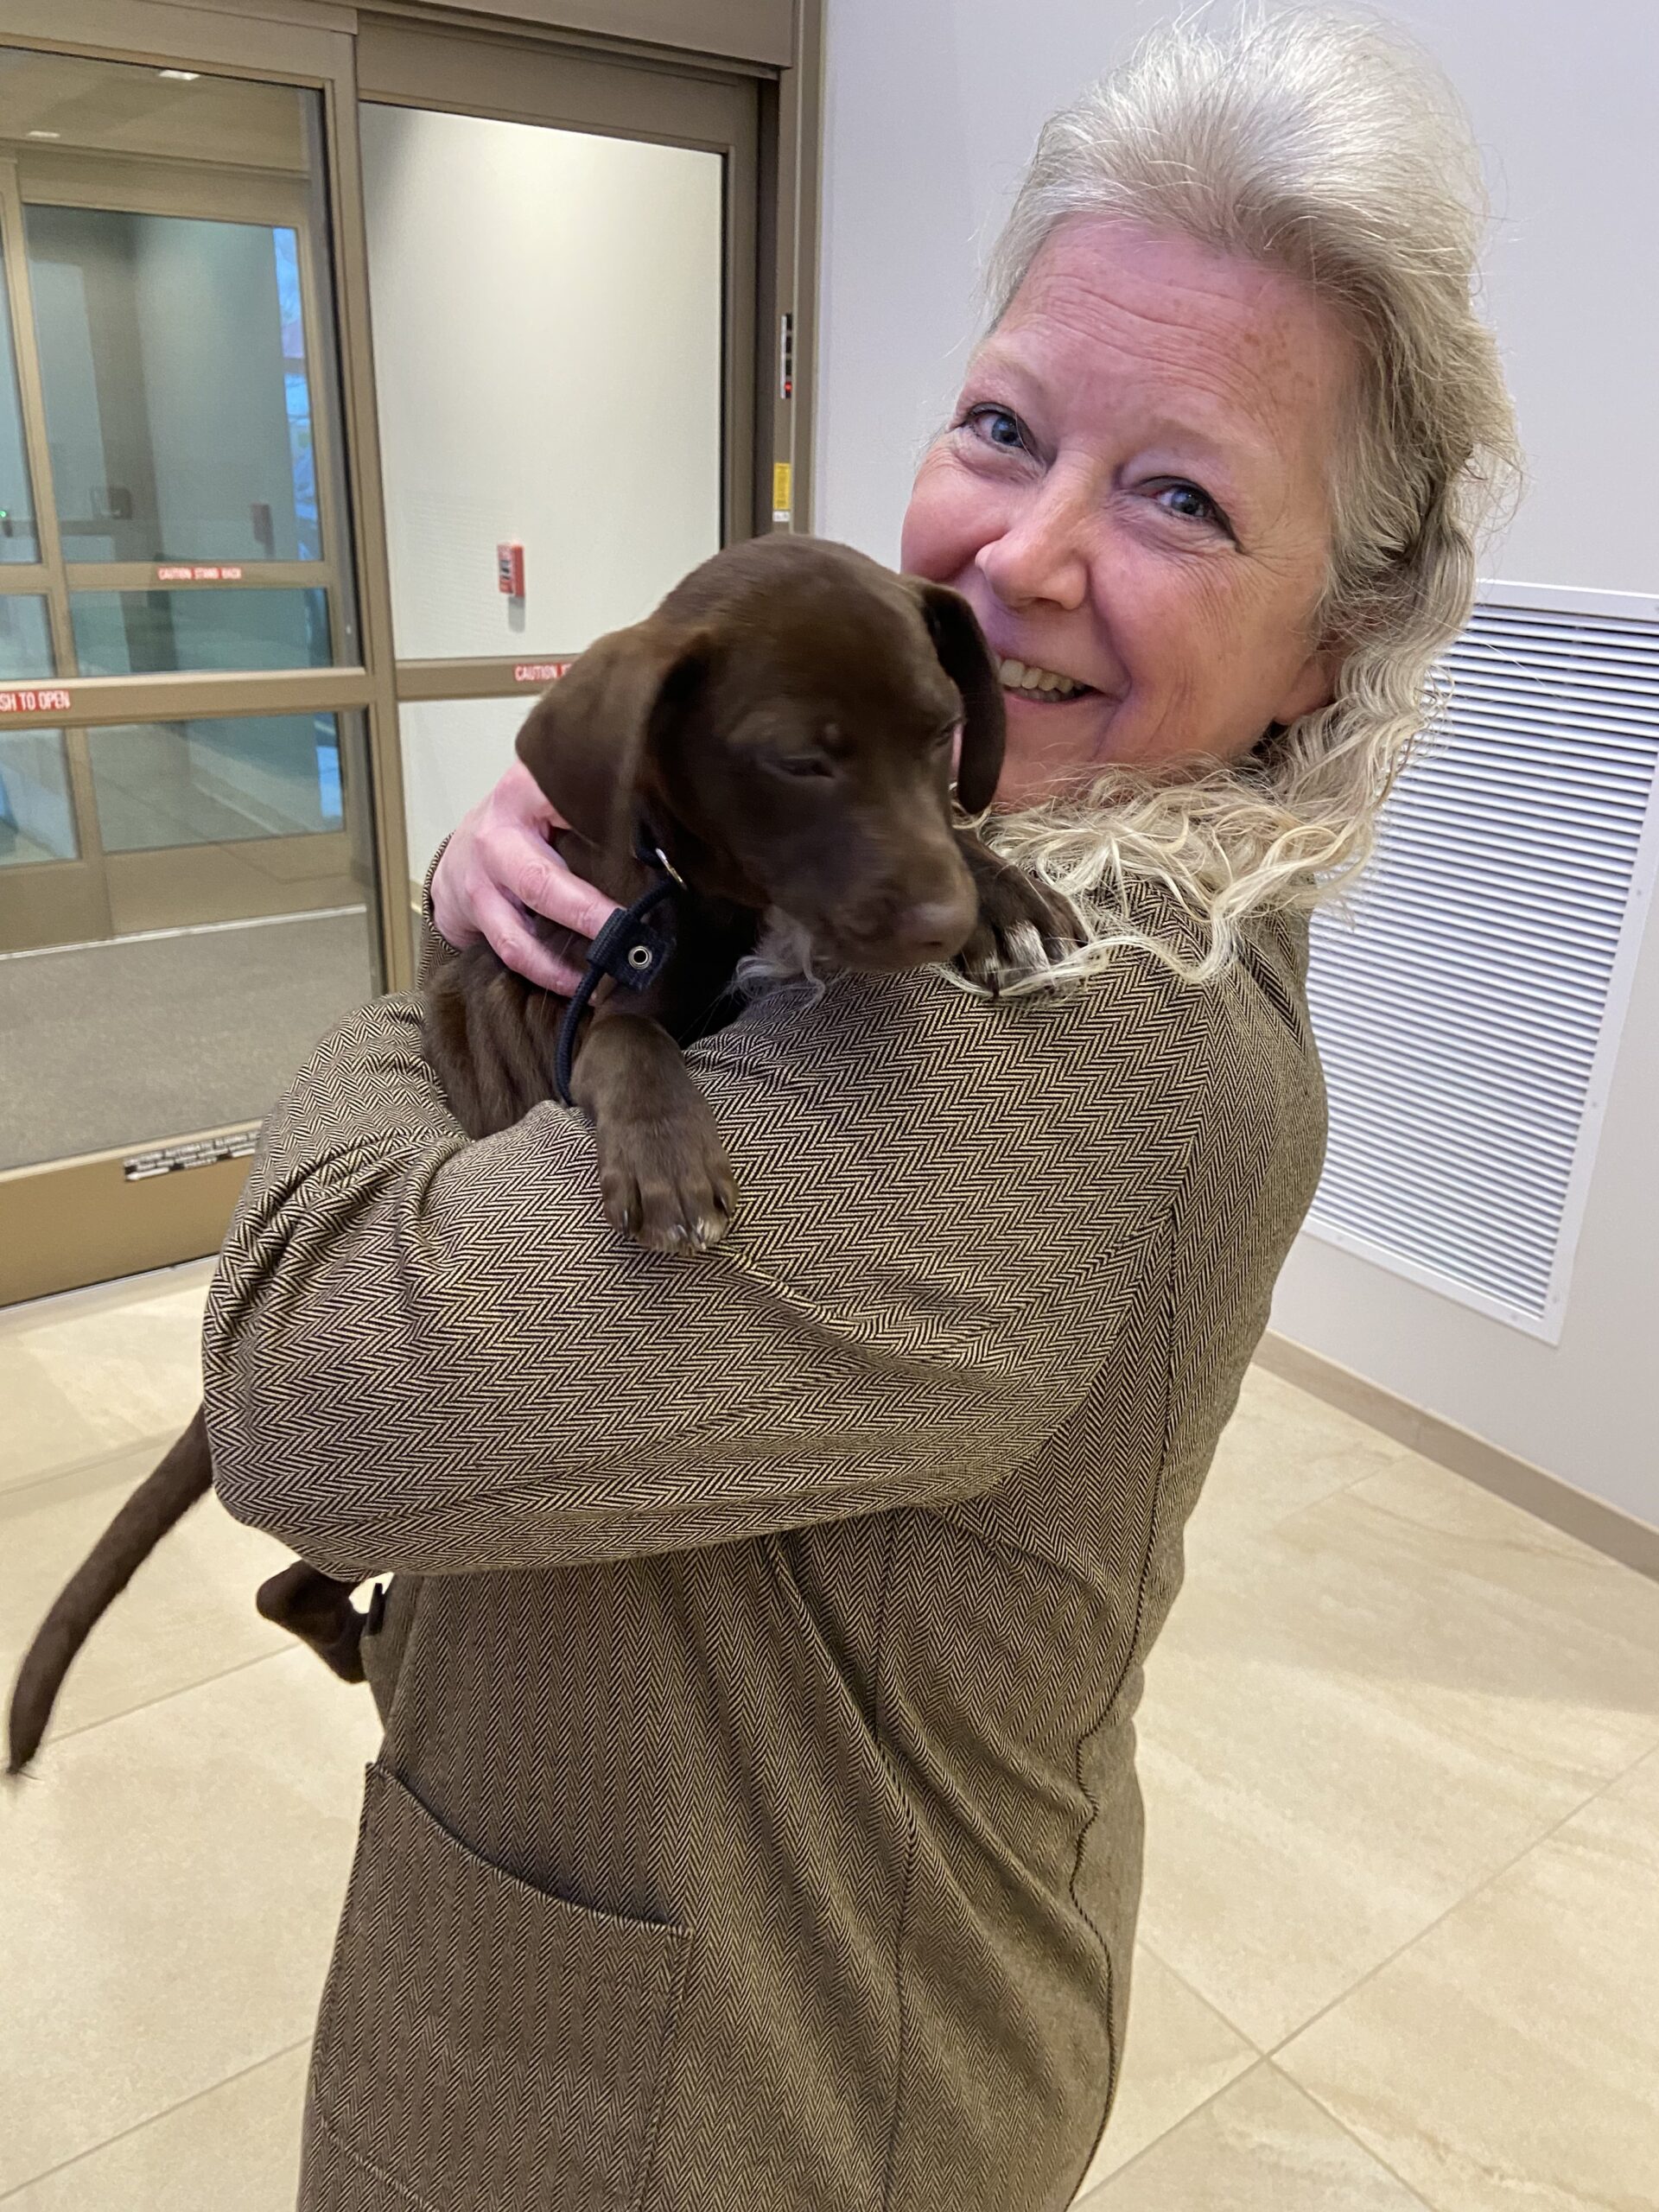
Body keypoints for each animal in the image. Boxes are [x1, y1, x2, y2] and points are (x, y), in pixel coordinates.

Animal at [6, 533, 1079, 1774]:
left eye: (941, 731)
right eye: (799, 761)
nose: (942, 921)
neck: (704, 893)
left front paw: (1004, 887)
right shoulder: (576, 1009)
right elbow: (624, 1036)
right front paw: (668, 1155)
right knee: (290, 1589)